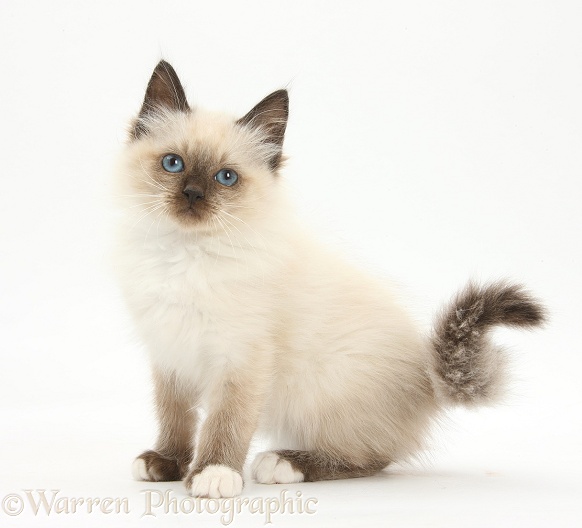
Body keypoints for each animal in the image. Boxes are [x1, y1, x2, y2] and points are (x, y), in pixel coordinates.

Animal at [114, 62, 548, 500]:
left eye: (226, 178)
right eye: (173, 164)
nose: (192, 195)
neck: (186, 256)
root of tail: (427, 375)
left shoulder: (240, 358)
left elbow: (226, 423)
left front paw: (213, 474)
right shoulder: (169, 354)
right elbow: (176, 417)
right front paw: (167, 462)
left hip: (321, 393)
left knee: (371, 459)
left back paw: (285, 463)